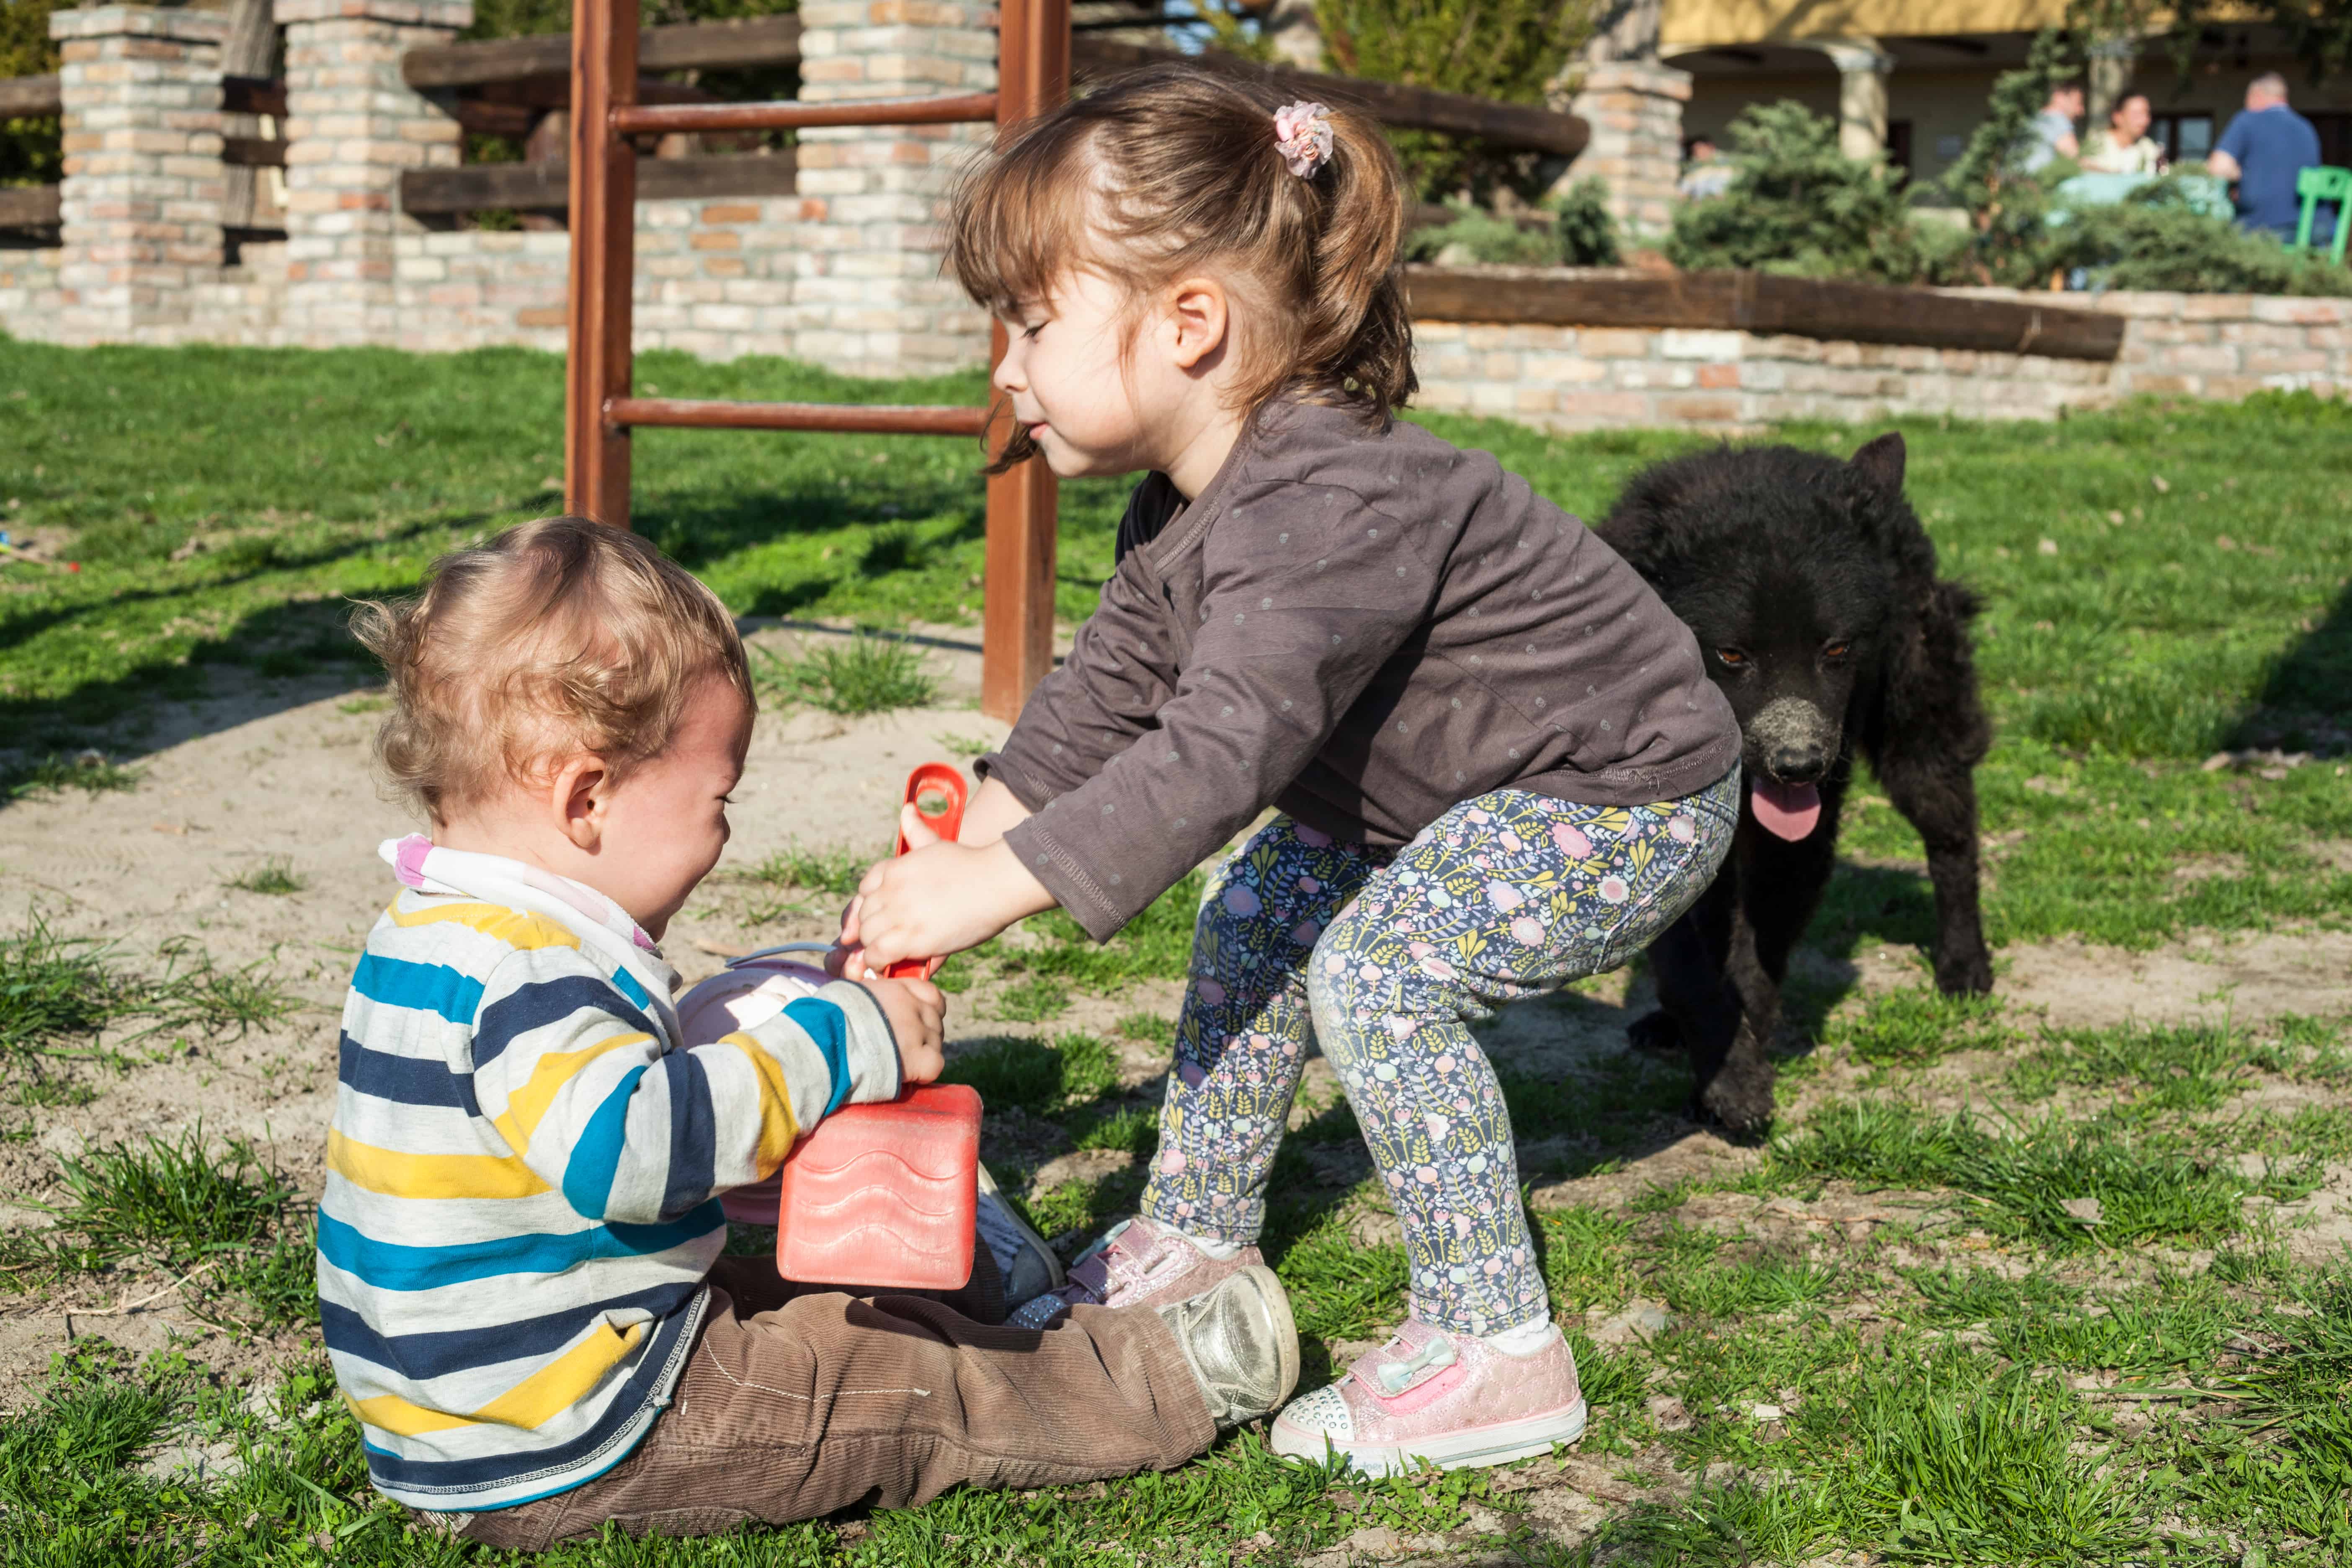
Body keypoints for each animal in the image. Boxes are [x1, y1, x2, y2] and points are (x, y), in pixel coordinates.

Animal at [1590, 435, 1994, 1133]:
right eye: (1730, 655)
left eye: (1835, 650)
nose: (1798, 765)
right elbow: (1689, 960)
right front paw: (1726, 1075)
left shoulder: (1796, 840)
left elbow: (1758, 959)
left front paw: (1733, 1070)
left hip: (1919, 735)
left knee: (1953, 844)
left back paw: (1964, 965)